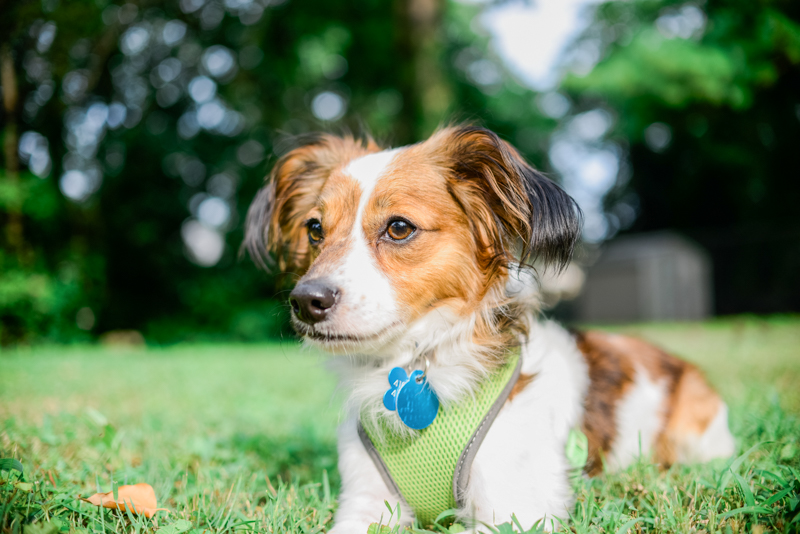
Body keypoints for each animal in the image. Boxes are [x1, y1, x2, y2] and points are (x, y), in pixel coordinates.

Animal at [244, 125, 736, 532]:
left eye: (399, 227)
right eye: (314, 229)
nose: (306, 301)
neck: (418, 367)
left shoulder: (514, 512)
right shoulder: (365, 505)